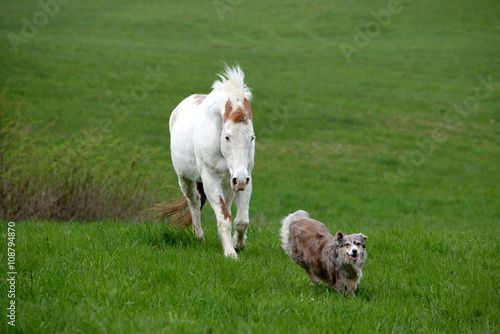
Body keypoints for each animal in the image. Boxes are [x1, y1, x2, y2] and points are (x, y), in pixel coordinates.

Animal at [158, 65, 256, 258]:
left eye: (252, 137)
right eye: (227, 137)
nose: (239, 179)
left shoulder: (245, 177)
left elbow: (241, 220)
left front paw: (238, 244)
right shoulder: (210, 179)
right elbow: (223, 218)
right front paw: (230, 253)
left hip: (228, 183)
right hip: (185, 179)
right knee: (194, 202)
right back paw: (199, 238)